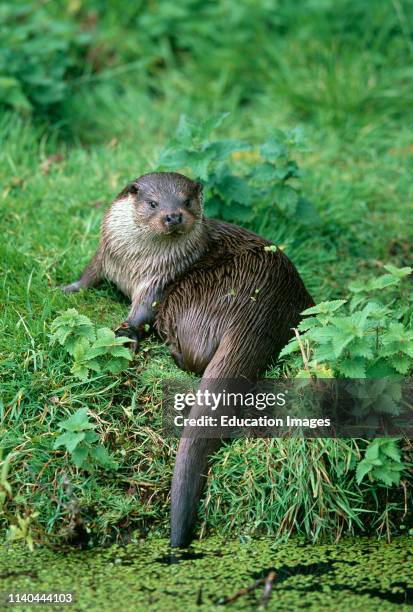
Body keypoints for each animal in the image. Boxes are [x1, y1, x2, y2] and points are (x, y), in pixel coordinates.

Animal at [60, 171, 312, 544]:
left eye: (187, 201)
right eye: (153, 203)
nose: (173, 216)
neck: (134, 262)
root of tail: (260, 304)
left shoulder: (157, 281)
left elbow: (140, 312)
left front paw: (124, 334)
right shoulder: (105, 252)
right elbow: (88, 275)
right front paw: (66, 288)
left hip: (188, 296)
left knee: (195, 357)